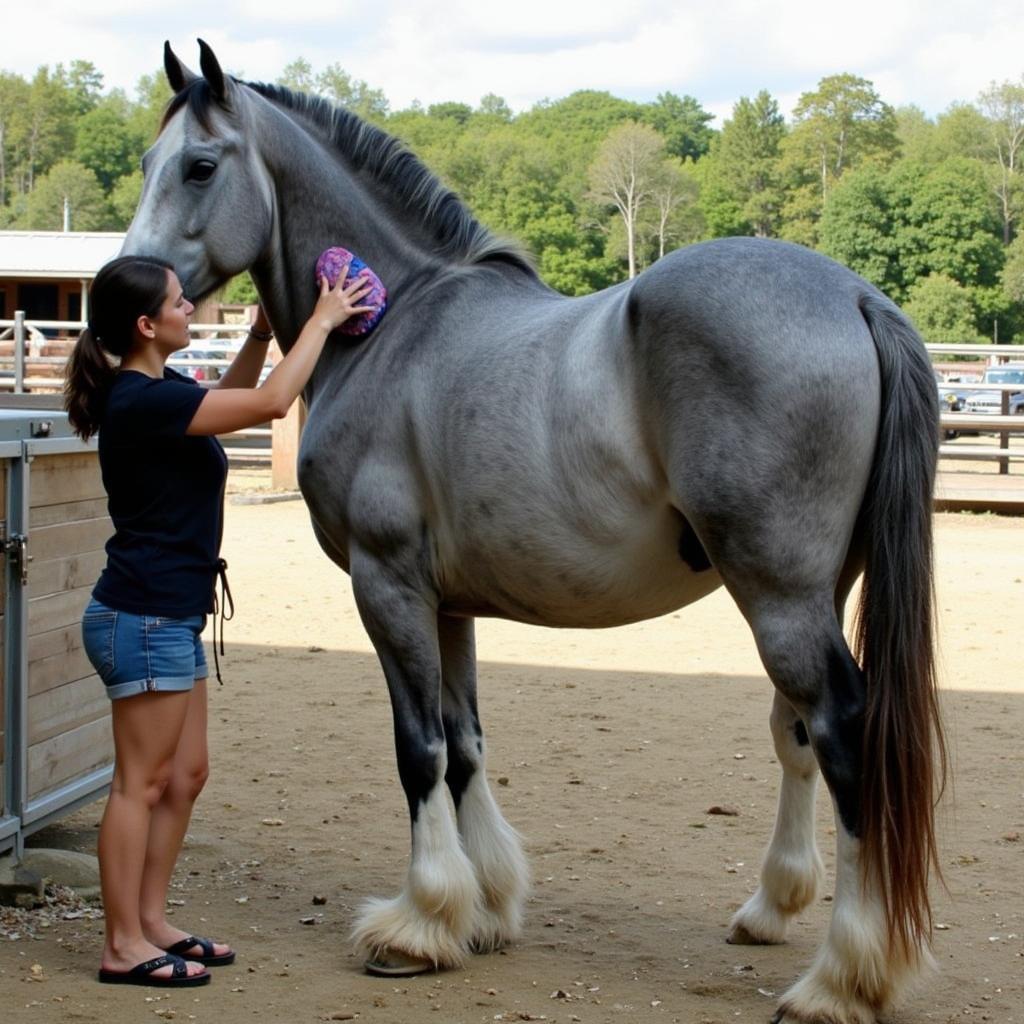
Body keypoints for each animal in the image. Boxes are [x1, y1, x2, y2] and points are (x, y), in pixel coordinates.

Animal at [123, 44, 946, 1024]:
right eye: (147, 161)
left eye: (200, 167)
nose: (124, 292)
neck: (393, 322)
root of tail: (856, 296)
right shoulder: (448, 604)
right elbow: (465, 743)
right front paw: (481, 909)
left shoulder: (385, 584)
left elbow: (419, 749)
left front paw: (417, 923)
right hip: (818, 588)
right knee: (797, 731)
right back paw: (771, 910)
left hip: (778, 593)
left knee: (842, 731)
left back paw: (839, 978)